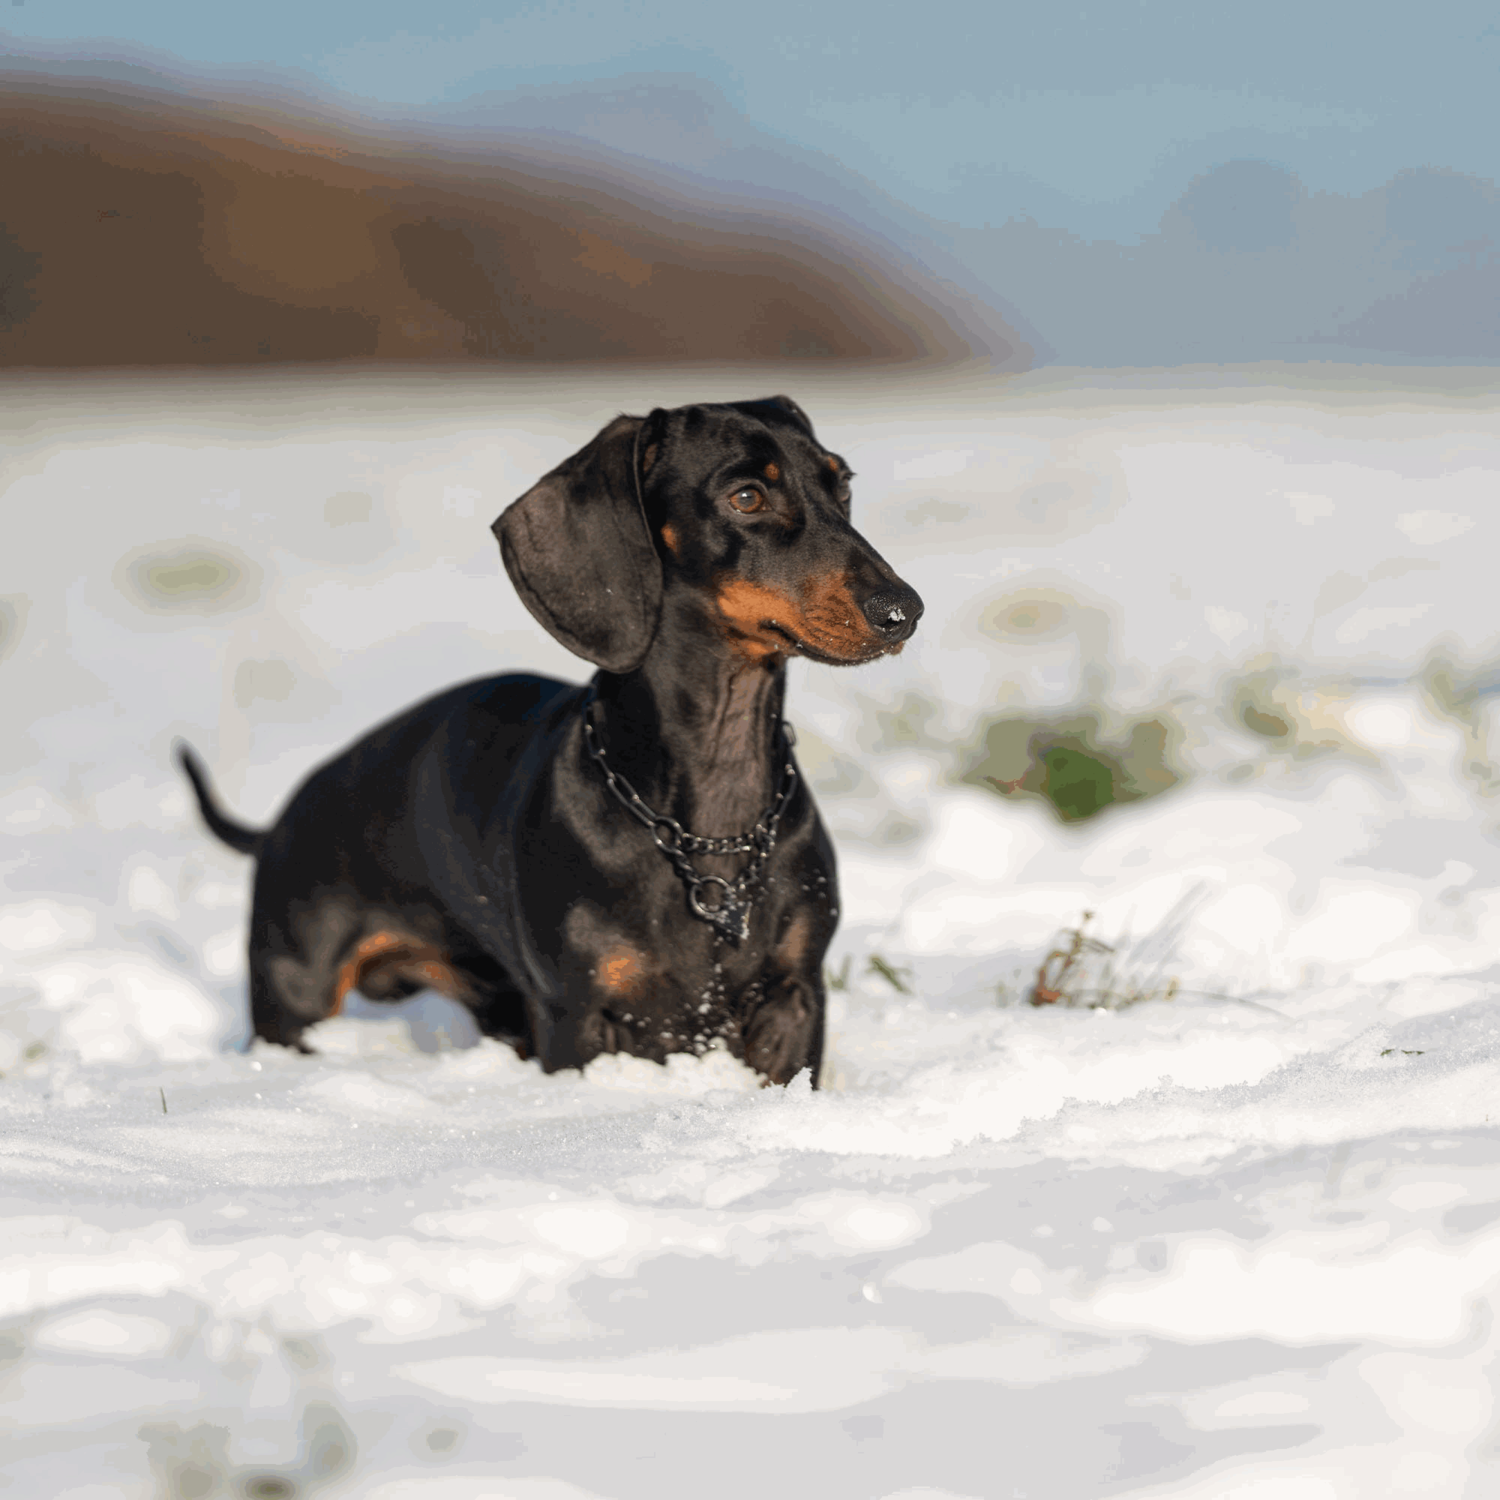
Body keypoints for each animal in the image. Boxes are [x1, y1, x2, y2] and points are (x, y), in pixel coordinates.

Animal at [180, 396, 918, 1080]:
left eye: (841, 484)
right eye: (747, 496)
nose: (904, 611)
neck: (710, 825)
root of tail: (279, 822)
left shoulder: (796, 999)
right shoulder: (578, 1018)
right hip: (295, 994)